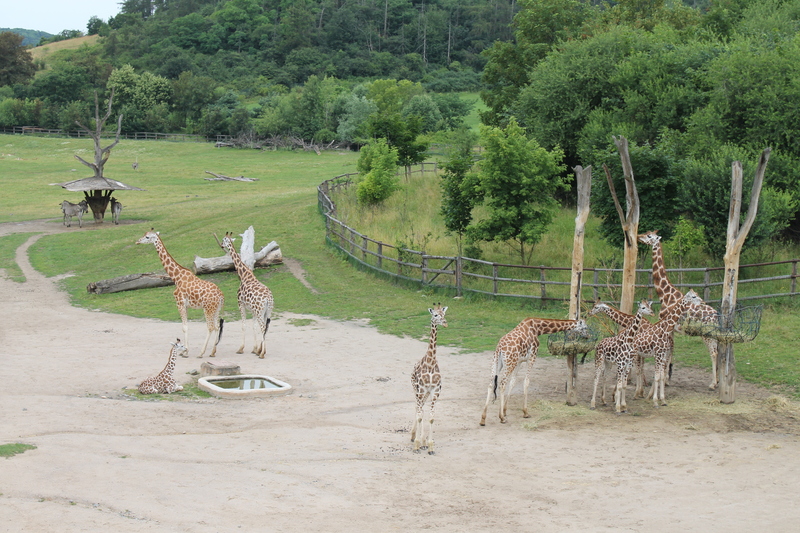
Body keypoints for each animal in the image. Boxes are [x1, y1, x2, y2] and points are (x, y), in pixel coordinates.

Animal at [137, 229, 225, 358]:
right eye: (144, 234)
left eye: (147, 237)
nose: (137, 241)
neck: (176, 277)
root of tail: (221, 296)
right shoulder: (186, 305)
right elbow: (187, 325)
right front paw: (185, 350)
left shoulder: (179, 303)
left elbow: (184, 327)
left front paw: (185, 351)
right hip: (216, 308)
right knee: (217, 326)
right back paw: (213, 352)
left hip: (208, 308)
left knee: (211, 327)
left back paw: (201, 353)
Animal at [640, 231, 720, 388]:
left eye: (649, 236)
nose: (639, 237)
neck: (665, 295)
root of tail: (716, 316)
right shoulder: (671, 330)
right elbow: (671, 351)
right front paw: (667, 377)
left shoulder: (667, 328)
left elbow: (668, 353)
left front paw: (665, 379)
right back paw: (719, 380)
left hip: (707, 334)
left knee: (713, 353)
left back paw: (713, 384)